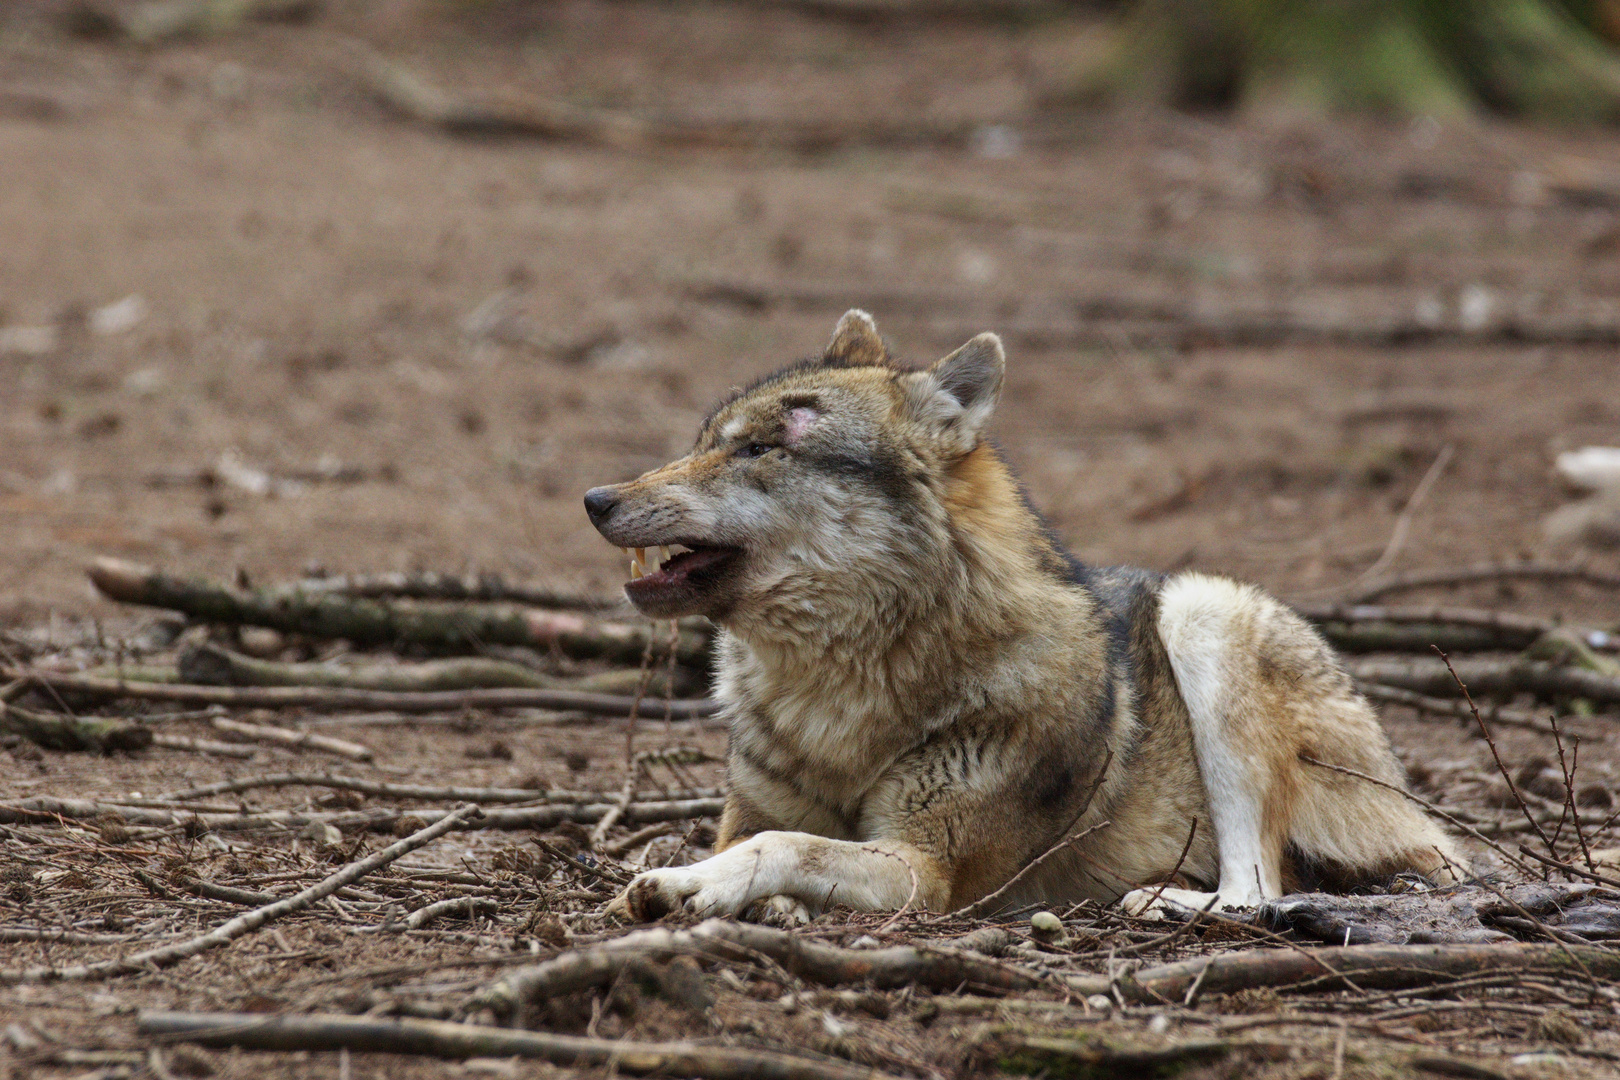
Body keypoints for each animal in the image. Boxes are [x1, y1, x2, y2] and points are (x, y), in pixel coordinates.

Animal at [579, 310, 1458, 919]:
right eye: (703, 440)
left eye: (762, 449)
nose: (596, 499)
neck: (837, 698)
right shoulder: (755, 813)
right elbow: (768, 838)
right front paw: (726, 891)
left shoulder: (927, 871)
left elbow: (781, 844)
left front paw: (684, 886)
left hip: (1204, 609)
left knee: (1260, 887)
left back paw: (1162, 901)